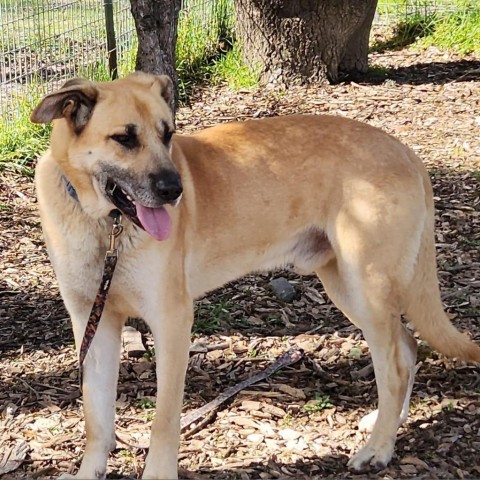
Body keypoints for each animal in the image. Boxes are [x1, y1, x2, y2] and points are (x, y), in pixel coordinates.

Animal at [31, 72, 480, 480]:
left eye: (167, 134)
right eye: (124, 138)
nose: (175, 190)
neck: (104, 225)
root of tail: (405, 151)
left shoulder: (172, 322)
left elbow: (164, 422)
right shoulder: (94, 324)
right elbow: (97, 418)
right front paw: (88, 472)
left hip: (365, 285)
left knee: (396, 366)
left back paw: (379, 449)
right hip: (347, 288)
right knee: (406, 346)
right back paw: (389, 424)